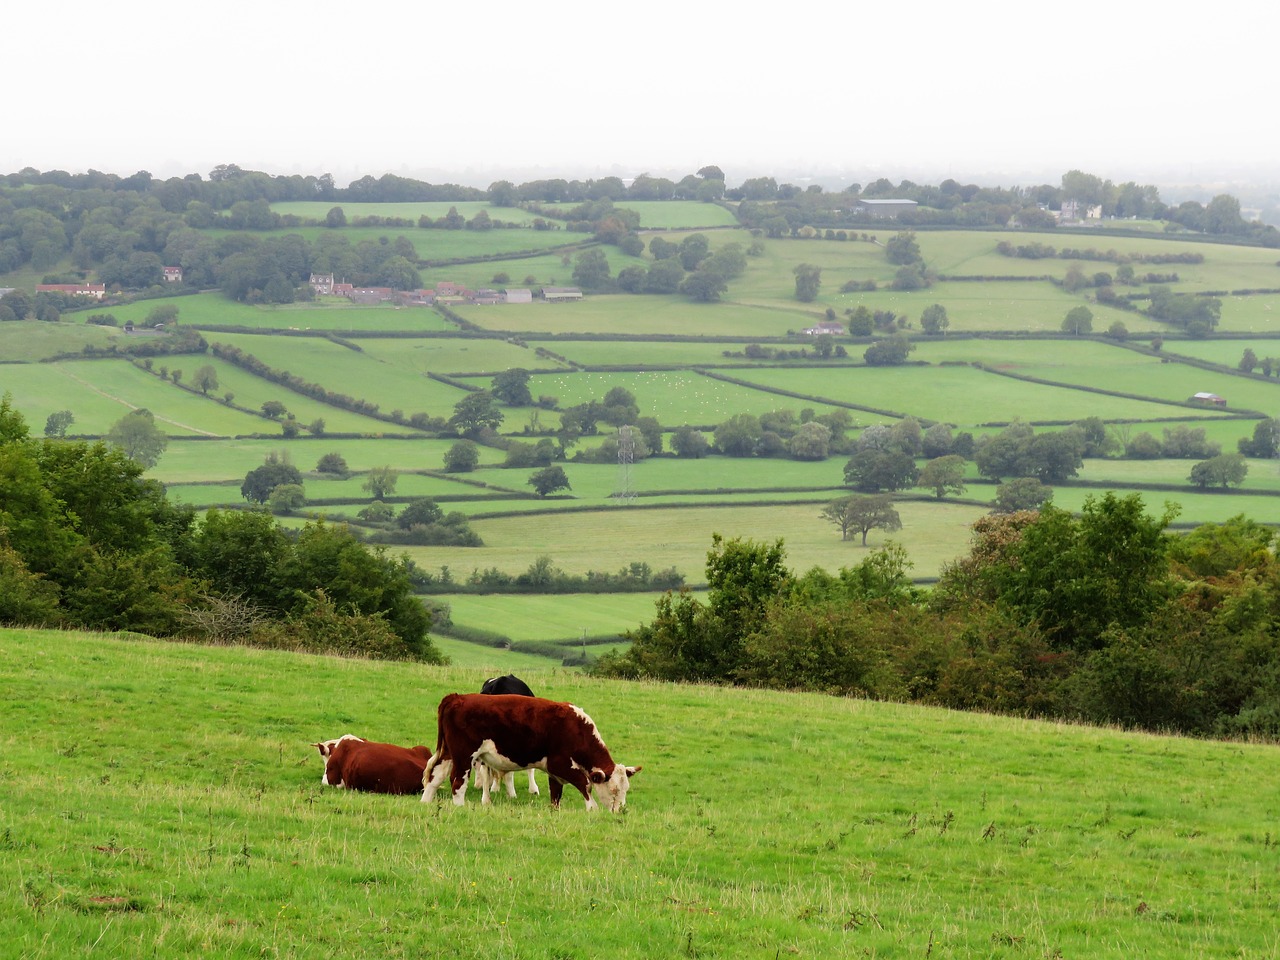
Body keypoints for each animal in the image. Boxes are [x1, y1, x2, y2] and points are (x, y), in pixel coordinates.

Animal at [422, 691, 640, 814]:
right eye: (614, 790)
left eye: (626, 789)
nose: (621, 810)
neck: (576, 728)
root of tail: (457, 697)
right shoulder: (559, 763)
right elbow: (584, 784)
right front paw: (591, 809)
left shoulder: (554, 772)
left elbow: (556, 792)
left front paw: (555, 811)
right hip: (464, 755)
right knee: (457, 781)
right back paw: (459, 807)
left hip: (448, 753)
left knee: (435, 776)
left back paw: (425, 802)